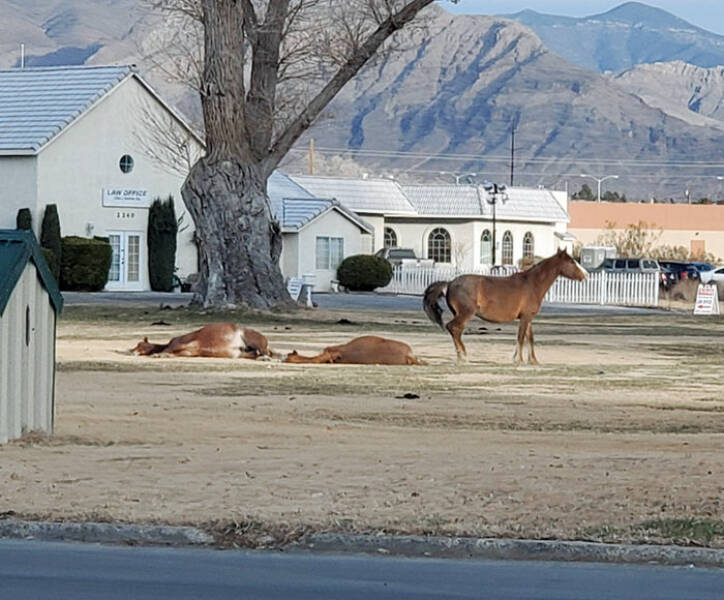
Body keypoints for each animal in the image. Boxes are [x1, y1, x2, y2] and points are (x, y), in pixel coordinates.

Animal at [424, 246, 588, 364]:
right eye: (571, 261)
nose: (586, 275)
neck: (532, 284)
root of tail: (450, 283)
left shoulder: (528, 318)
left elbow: (530, 338)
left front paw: (533, 360)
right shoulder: (525, 317)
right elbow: (521, 337)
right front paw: (519, 360)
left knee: (456, 331)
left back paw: (461, 357)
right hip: (465, 314)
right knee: (453, 328)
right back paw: (463, 356)